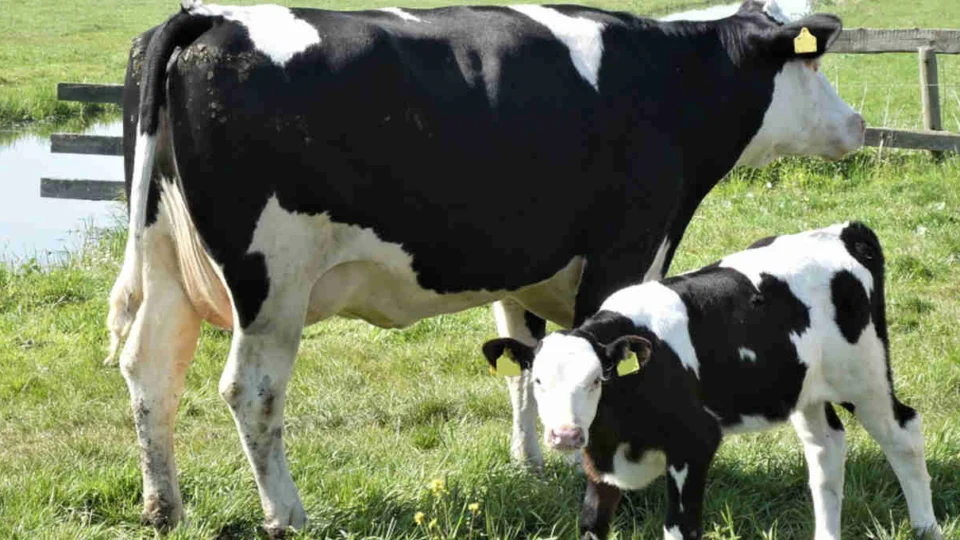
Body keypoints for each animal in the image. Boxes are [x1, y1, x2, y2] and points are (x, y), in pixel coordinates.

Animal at [107, 0, 864, 533]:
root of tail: (210, 18)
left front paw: (532, 463)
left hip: (167, 262)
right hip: (273, 282)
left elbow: (528, 361)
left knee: (150, 371)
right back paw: (287, 515)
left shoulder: (525, 267)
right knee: (252, 391)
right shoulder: (627, 250)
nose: (857, 123)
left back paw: (163, 506)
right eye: (812, 65)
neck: (671, 80)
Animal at [482, 222, 942, 540]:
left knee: (903, 434)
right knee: (826, 449)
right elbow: (592, 525)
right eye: (538, 381)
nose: (565, 435)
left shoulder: (694, 444)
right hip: (805, 390)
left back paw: (926, 527)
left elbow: (679, 529)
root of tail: (843, 232)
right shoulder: (600, 466)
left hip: (865, 377)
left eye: (597, 379)